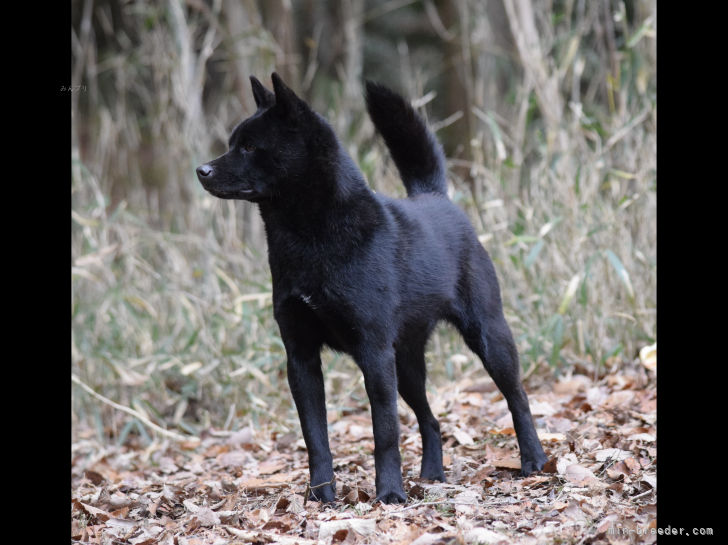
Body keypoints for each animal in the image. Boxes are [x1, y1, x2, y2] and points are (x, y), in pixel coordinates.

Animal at [196, 74, 548, 504]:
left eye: (249, 146)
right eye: (232, 142)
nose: (201, 170)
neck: (311, 236)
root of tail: (437, 198)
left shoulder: (373, 354)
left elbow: (385, 433)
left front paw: (390, 494)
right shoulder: (301, 358)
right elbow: (316, 438)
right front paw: (320, 496)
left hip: (487, 338)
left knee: (518, 399)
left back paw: (533, 461)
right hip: (407, 364)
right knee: (431, 420)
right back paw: (432, 475)